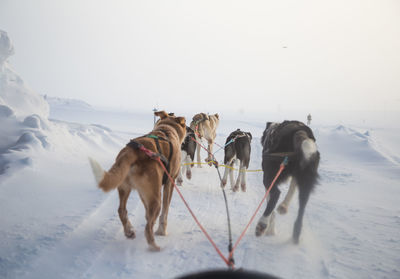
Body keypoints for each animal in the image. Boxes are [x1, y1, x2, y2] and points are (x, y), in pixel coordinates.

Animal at [89, 111, 186, 252]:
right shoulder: (170, 182)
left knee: (122, 210)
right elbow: (165, 212)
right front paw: (162, 231)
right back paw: (154, 246)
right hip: (156, 198)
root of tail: (131, 152)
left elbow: (147, 212)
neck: (167, 129)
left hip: (125, 188)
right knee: (148, 227)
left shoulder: (143, 192)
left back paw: (129, 231)